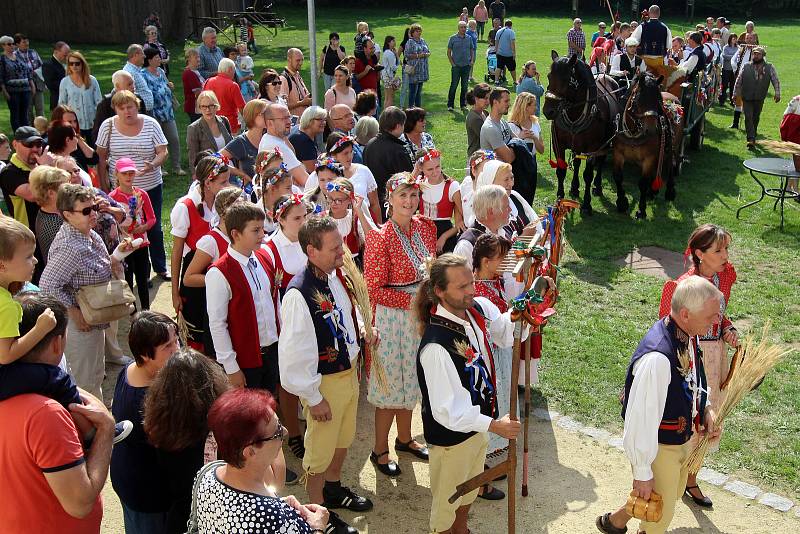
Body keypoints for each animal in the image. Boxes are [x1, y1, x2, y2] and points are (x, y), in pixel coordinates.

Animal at [540, 50, 620, 216]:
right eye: (549, 76)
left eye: (566, 79)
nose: (548, 111)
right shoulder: (559, 144)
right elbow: (561, 170)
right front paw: (560, 199)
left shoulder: (592, 148)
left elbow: (588, 175)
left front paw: (587, 205)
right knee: (576, 162)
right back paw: (574, 187)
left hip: (606, 142)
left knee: (600, 162)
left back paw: (597, 186)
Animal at [612, 72, 680, 219]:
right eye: (639, 99)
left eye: (658, 100)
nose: (651, 130)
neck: (633, 133)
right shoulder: (618, 154)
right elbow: (618, 177)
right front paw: (622, 203)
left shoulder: (648, 158)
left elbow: (642, 183)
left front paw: (641, 210)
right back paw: (652, 192)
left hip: (672, 145)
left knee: (671, 164)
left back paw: (670, 191)